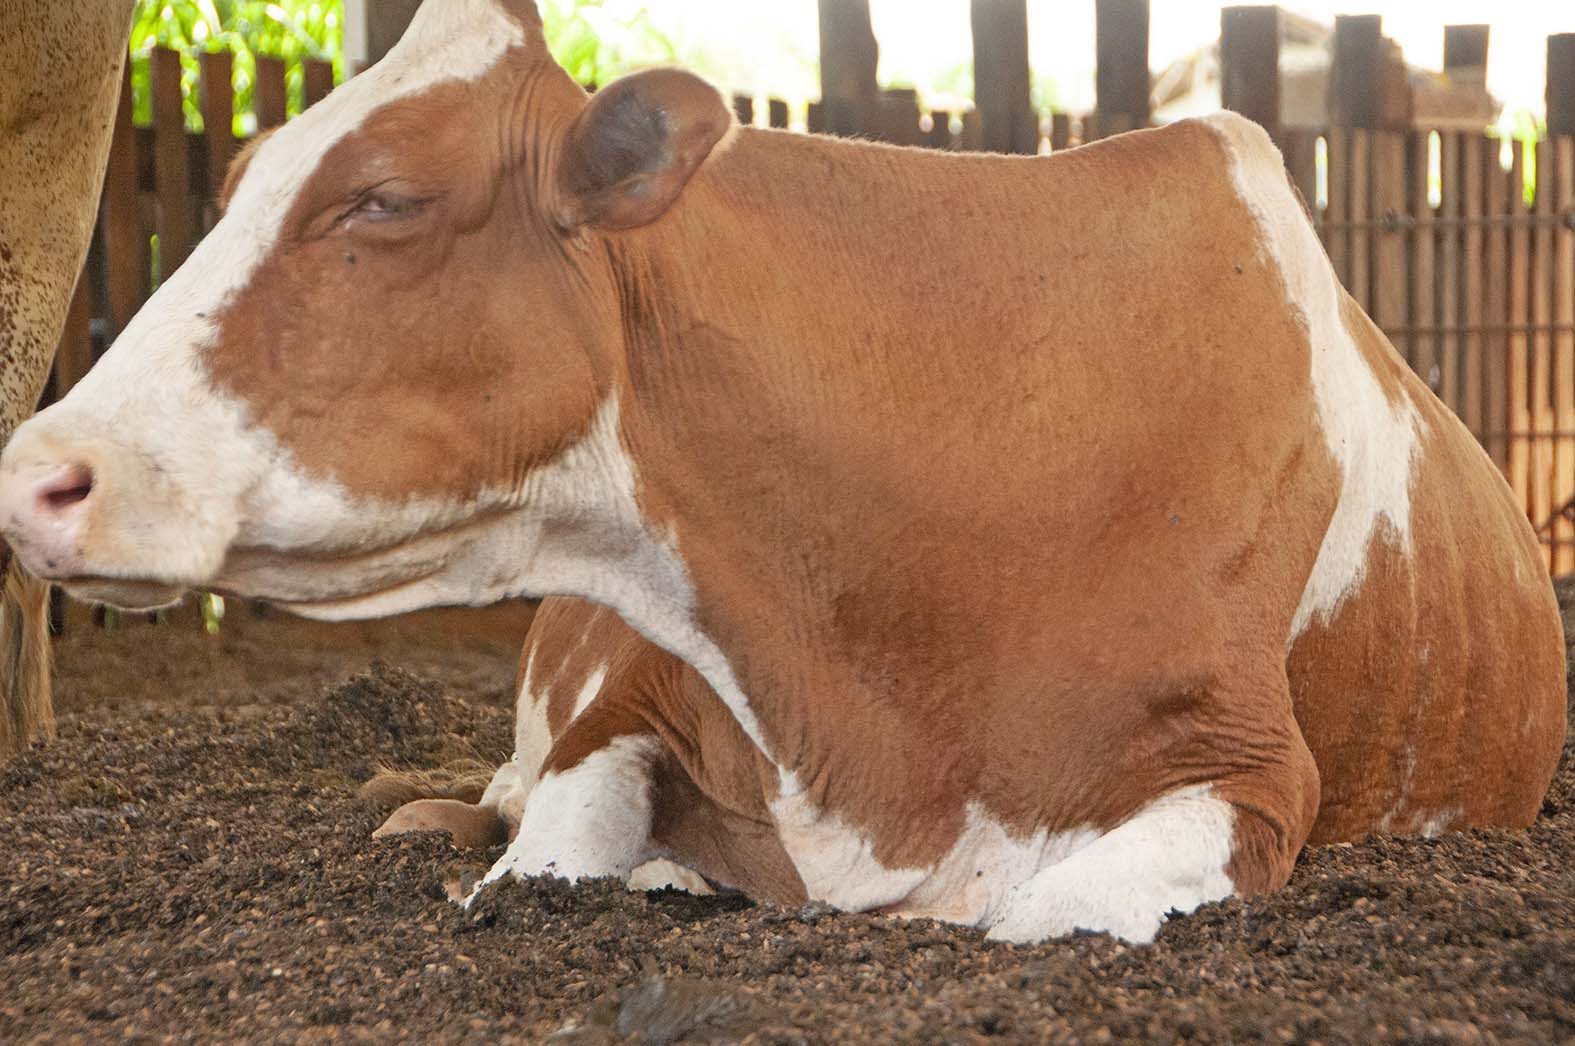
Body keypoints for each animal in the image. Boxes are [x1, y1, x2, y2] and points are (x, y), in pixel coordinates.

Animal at [0, 0, 1563, 943]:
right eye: (239, 181)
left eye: (383, 198)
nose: (39, 469)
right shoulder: (631, 687)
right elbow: (544, 852)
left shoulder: (1246, 774)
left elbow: (1031, 915)